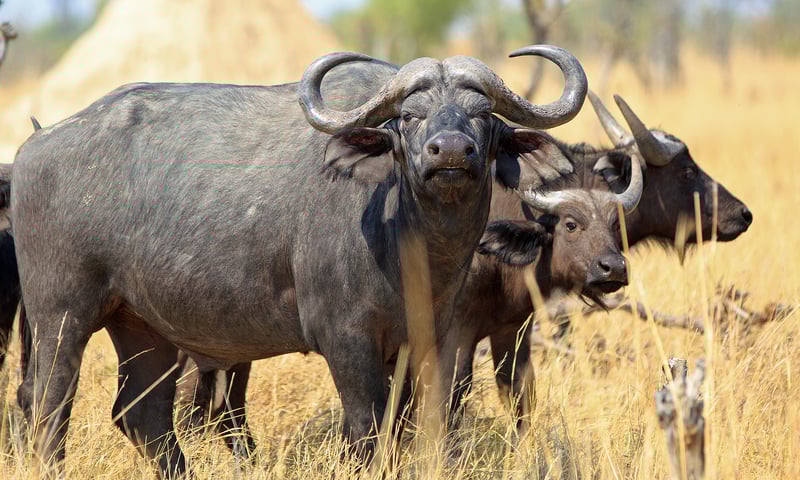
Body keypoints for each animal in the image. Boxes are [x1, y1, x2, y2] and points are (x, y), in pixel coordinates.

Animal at [11, 46, 587, 476]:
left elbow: (402, 429)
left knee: (141, 414)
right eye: (409, 116)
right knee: (46, 404)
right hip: (60, 317)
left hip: (143, 327)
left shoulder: (422, 341)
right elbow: (366, 432)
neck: (412, 243)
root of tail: (34, 145)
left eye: (483, 115)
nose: (449, 151)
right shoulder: (345, 339)